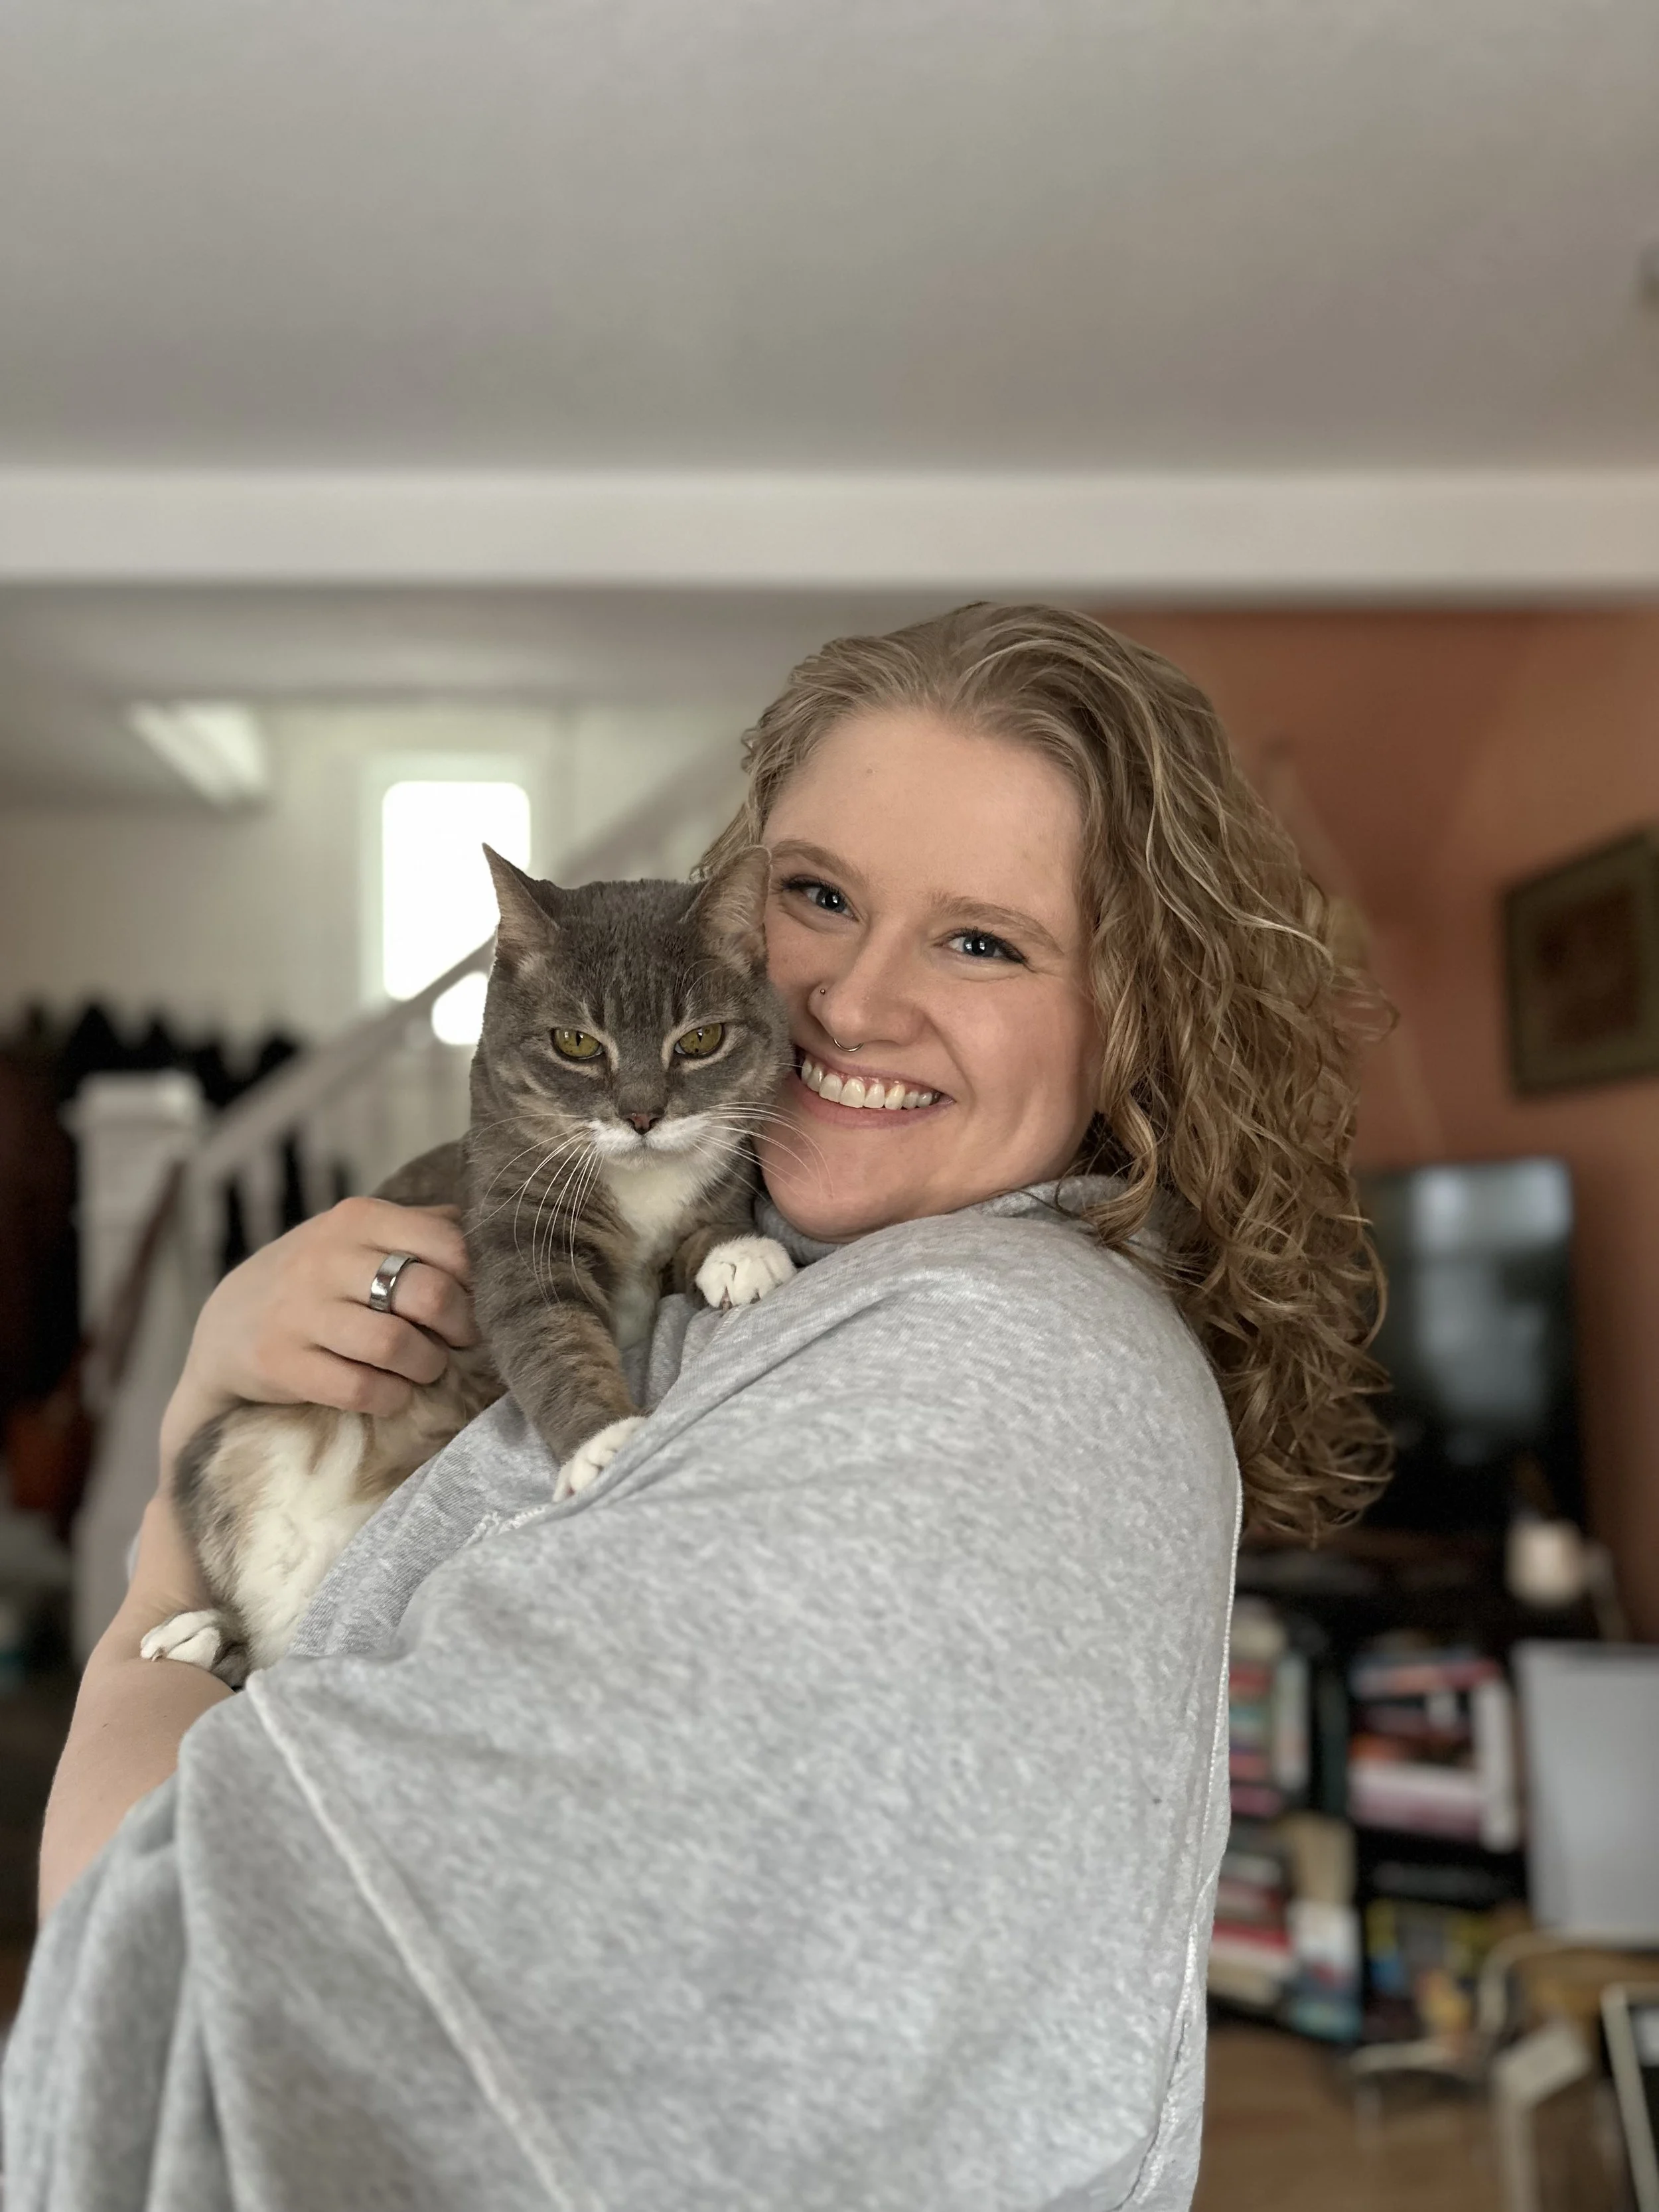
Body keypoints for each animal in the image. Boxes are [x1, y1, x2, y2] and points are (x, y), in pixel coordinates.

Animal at [141, 843, 795, 1687]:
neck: (637, 1181)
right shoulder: (513, 1236)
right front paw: (603, 1441)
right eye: (576, 1044)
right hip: (218, 1452)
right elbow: (552, 1339)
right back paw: (191, 1632)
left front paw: (737, 1251)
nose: (643, 1115)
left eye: (700, 1040)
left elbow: (710, 1210)